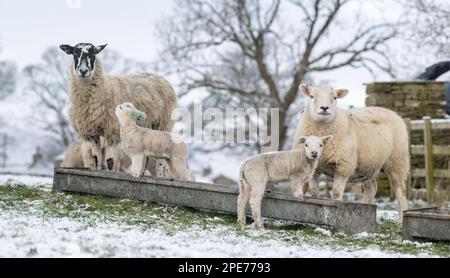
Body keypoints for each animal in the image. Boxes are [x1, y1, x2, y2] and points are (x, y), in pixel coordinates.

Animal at [59, 42, 178, 173]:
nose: (83, 71)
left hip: (163, 124)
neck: (105, 88)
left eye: (93, 53)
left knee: (160, 161)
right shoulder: (92, 132)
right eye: (74, 53)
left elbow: (110, 161)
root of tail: (160, 77)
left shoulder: (112, 130)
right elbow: (96, 159)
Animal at [294, 84, 410, 219]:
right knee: (371, 188)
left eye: (334, 97)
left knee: (400, 191)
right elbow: (313, 191)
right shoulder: (314, 167)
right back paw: (364, 206)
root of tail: (390, 111)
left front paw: (336, 208)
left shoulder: (344, 166)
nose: (324, 108)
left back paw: (402, 218)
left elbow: (336, 192)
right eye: (312, 96)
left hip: (397, 162)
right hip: (369, 166)